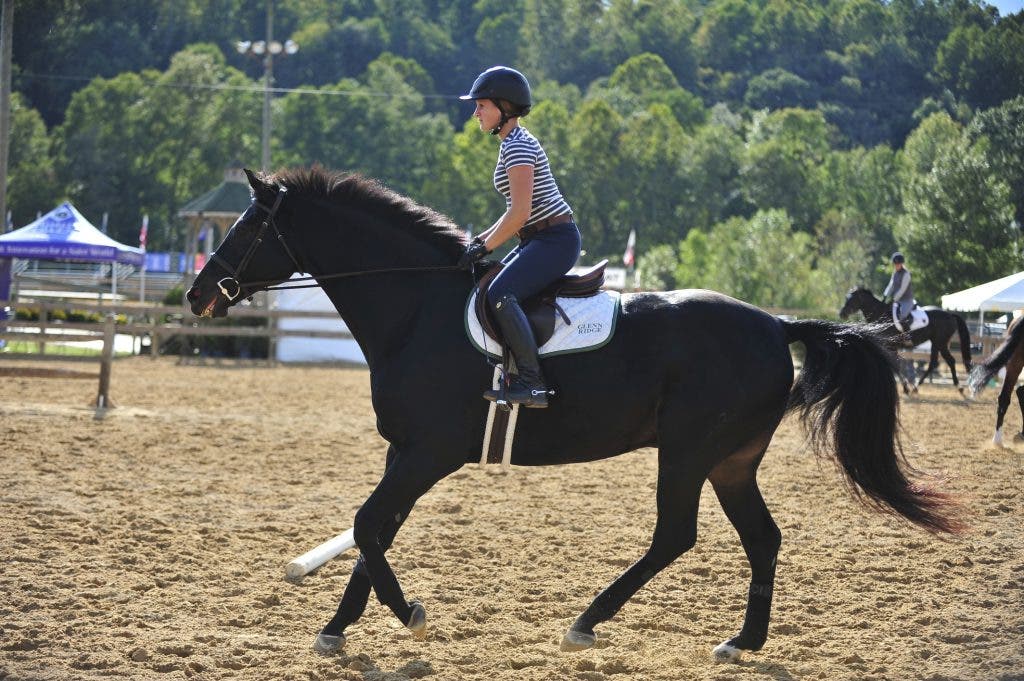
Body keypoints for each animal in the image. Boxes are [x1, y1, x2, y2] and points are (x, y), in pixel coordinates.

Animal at [838, 286, 973, 395]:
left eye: (851, 300)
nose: (841, 314)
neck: (880, 315)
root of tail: (950, 315)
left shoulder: (890, 346)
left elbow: (896, 365)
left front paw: (906, 389)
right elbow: (898, 365)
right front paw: (907, 387)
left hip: (941, 343)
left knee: (949, 361)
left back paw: (959, 388)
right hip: (936, 343)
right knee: (934, 363)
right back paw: (917, 387)